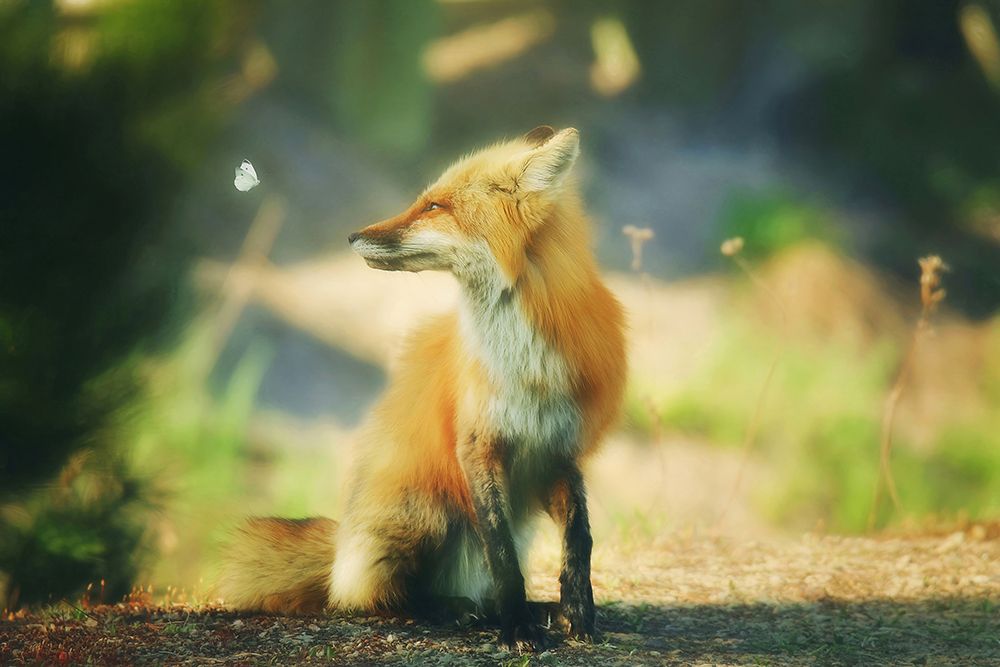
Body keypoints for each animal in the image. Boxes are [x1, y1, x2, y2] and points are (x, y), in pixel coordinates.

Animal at [218, 126, 626, 649]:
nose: (351, 235)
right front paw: (517, 627)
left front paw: (577, 612)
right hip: (427, 509)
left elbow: (580, 537)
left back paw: (526, 609)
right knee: (383, 597)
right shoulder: (476, 444)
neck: (524, 365)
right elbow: (502, 556)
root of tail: (341, 552)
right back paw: (452, 608)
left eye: (434, 206)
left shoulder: (559, 448)